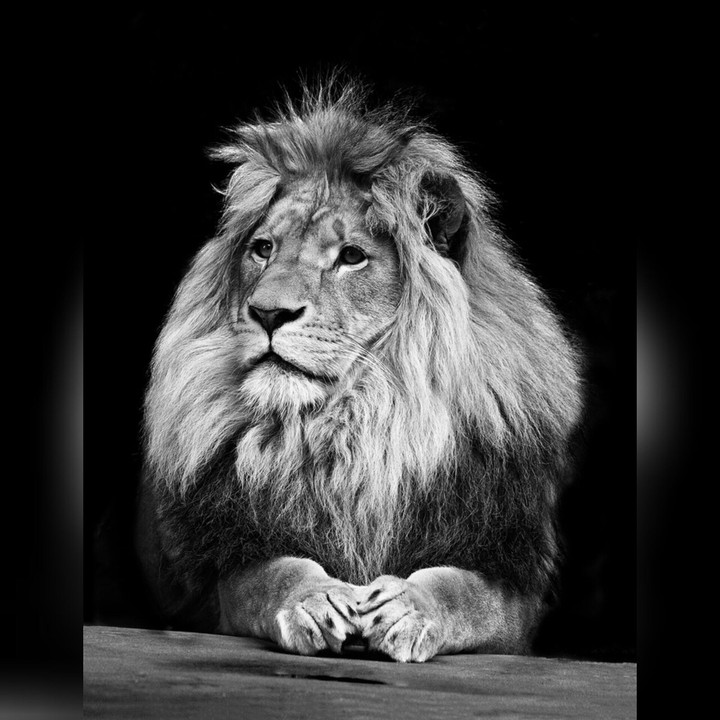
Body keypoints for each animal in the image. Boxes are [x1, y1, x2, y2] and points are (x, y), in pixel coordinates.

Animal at [135, 80, 583, 662]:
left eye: (351, 257)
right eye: (263, 249)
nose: (267, 313)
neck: (358, 426)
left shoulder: (512, 580)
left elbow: (465, 592)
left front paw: (410, 607)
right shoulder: (226, 568)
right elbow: (271, 575)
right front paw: (313, 599)